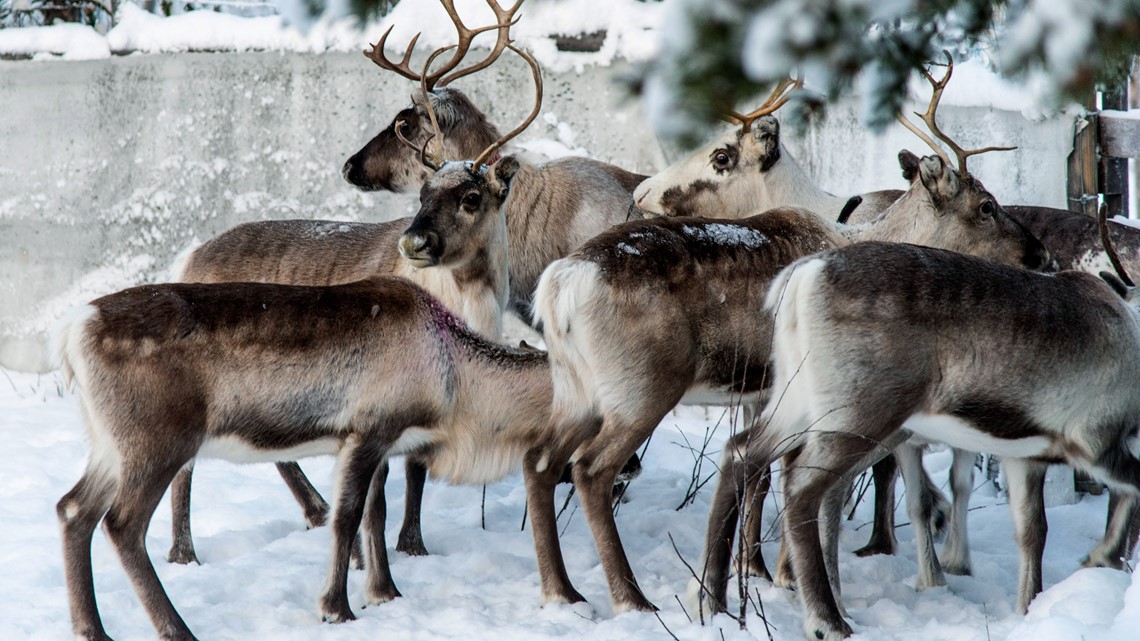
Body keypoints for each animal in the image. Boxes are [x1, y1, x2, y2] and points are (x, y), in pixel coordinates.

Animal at [163, 41, 542, 566]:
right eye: (422, 193)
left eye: (471, 196)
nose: (414, 242)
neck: (470, 304)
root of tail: (190, 258)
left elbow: (417, 467)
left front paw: (412, 546)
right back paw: (184, 553)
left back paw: (316, 510)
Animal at [527, 102, 1052, 612]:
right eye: (986, 206)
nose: (1040, 253)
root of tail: (560, 284)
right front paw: (787, 576)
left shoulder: (765, 393)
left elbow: (765, 476)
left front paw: (762, 571)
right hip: (641, 390)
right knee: (590, 470)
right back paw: (630, 598)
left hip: (575, 389)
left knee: (539, 459)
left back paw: (562, 591)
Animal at [700, 207, 1140, 641]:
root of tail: (803, 275)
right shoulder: (1096, 441)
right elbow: (1132, 489)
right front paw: (1101, 557)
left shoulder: (1025, 455)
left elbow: (1033, 531)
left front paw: (1029, 608)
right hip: (861, 412)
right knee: (803, 486)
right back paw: (827, 621)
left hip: (797, 401)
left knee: (742, 452)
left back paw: (712, 599)